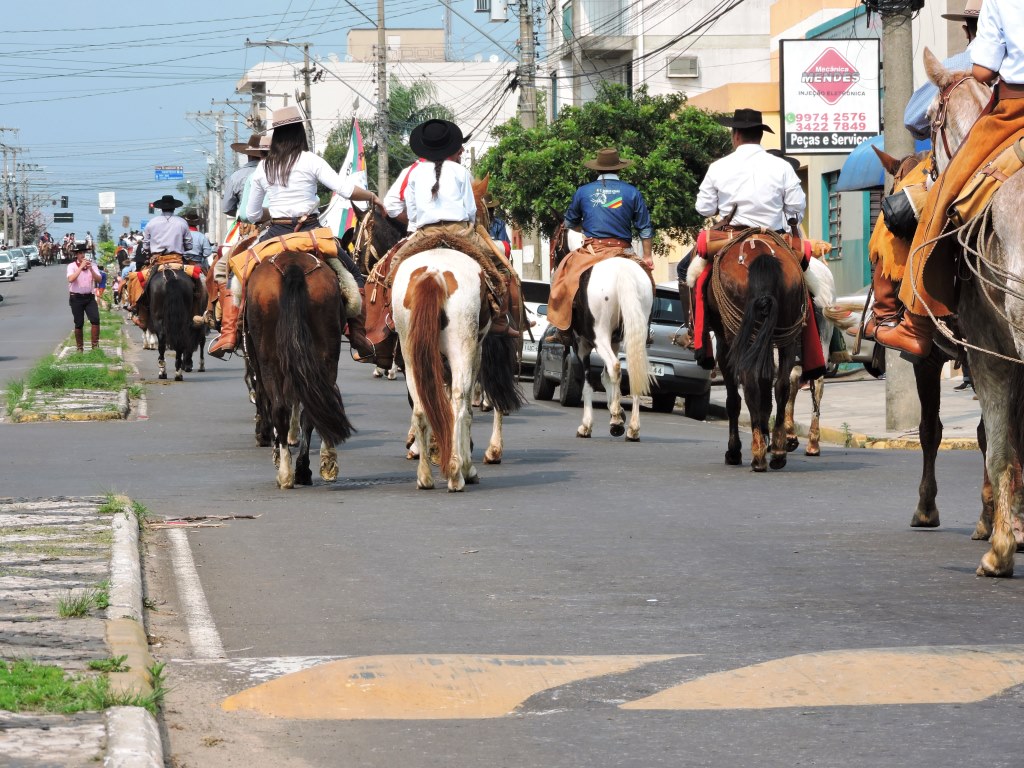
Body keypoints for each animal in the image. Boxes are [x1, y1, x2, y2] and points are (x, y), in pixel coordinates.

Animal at [241, 252, 354, 493]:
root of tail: (292, 264)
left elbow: (265, 399)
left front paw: (265, 435)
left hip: (267, 358)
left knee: (278, 407)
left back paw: (285, 471)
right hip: (326, 352)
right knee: (313, 406)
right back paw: (306, 468)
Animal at [389, 239, 524, 493]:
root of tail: (433, 273)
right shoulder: (477, 353)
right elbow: (466, 407)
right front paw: (467, 465)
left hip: (411, 353)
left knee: (421, 407)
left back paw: (425, 477)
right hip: (463, 349)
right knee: (459, 404)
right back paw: (456, 473)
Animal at [704, 231, 806, 473]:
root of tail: (760, 253)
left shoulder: (725, 345)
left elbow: (735, 400)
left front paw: (734, 451)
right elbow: (766, 390)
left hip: (739, 336)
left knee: (748, 384)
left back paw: (758, 454)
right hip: (786, 335)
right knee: (781, 386)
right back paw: (777, 451)